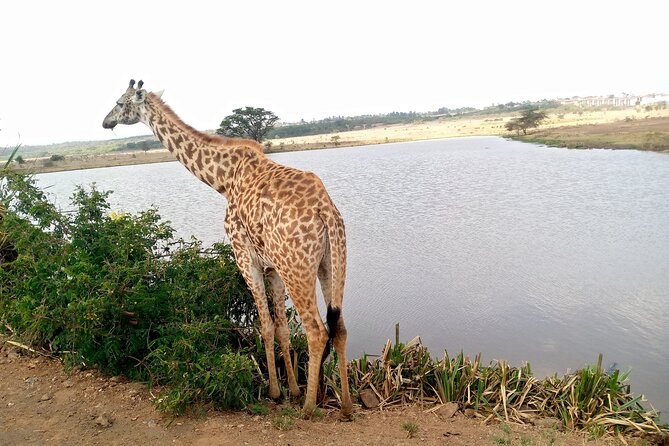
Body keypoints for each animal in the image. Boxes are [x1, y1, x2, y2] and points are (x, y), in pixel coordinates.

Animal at [102, 80, 352, 418]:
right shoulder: (272, 266)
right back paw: (347, 406)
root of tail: (325, 210)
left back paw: (309, 409)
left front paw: (276, 392)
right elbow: (282, 328)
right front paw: (293, 389)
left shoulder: (245, 257)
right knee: (339, 327)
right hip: (331, 262)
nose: (105, 122)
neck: (223, 178)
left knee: (316, 330)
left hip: (297, 268)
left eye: (119, 102)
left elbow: (265, 326)